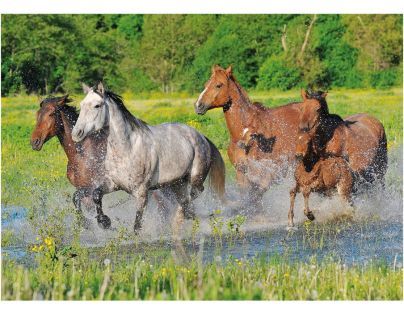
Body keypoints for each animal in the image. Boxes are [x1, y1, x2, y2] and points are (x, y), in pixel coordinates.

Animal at [30, 95, 113, 228]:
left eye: (51, 113)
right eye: (38, 113)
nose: (34, 142)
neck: (81, 155)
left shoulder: (94, 186)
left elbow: (79, 198)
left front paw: (103, 221)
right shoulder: (81, 188)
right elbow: (80, 202)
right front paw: (85, 222)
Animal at [71, 82, 226, 236]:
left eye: (97, 105)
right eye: (82, 104)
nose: (76, 133)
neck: (127, 149)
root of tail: (201, 136)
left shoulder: (141, 193)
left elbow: (137, 225)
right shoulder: (113, 184)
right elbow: (96, 194)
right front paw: (104, 222)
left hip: (196, 178)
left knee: (193, 195)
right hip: (177, 183)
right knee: (185, 201)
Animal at [194, 65, 304, 214]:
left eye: (218, 85)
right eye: (206, 84)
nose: (198, 105)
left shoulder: (267, 173)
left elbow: (256, 195)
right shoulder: (241, 171)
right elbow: (247, 196)